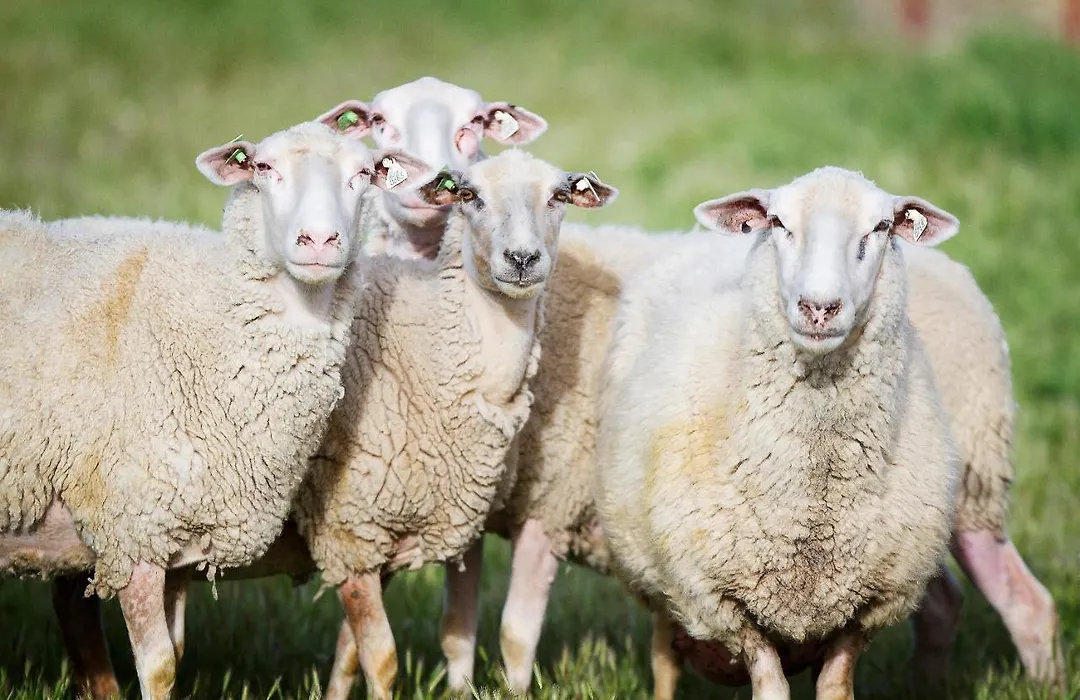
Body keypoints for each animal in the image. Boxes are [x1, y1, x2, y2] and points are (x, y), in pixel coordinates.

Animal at [0, 119, 429, 700]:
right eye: (264, 168)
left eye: (363, 173)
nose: (319, 242)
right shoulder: (133, 523)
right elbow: (159, 665)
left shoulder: (178, 536)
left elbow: (175, 651)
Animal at [595, 167, 962, 700]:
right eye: (778, 222)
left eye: (880, 228)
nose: (820, 307)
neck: (814, 496)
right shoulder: (720, 599)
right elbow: (769, 687)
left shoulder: (869, 606)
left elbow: (836, 687)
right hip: (661, 580)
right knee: (664, 659)